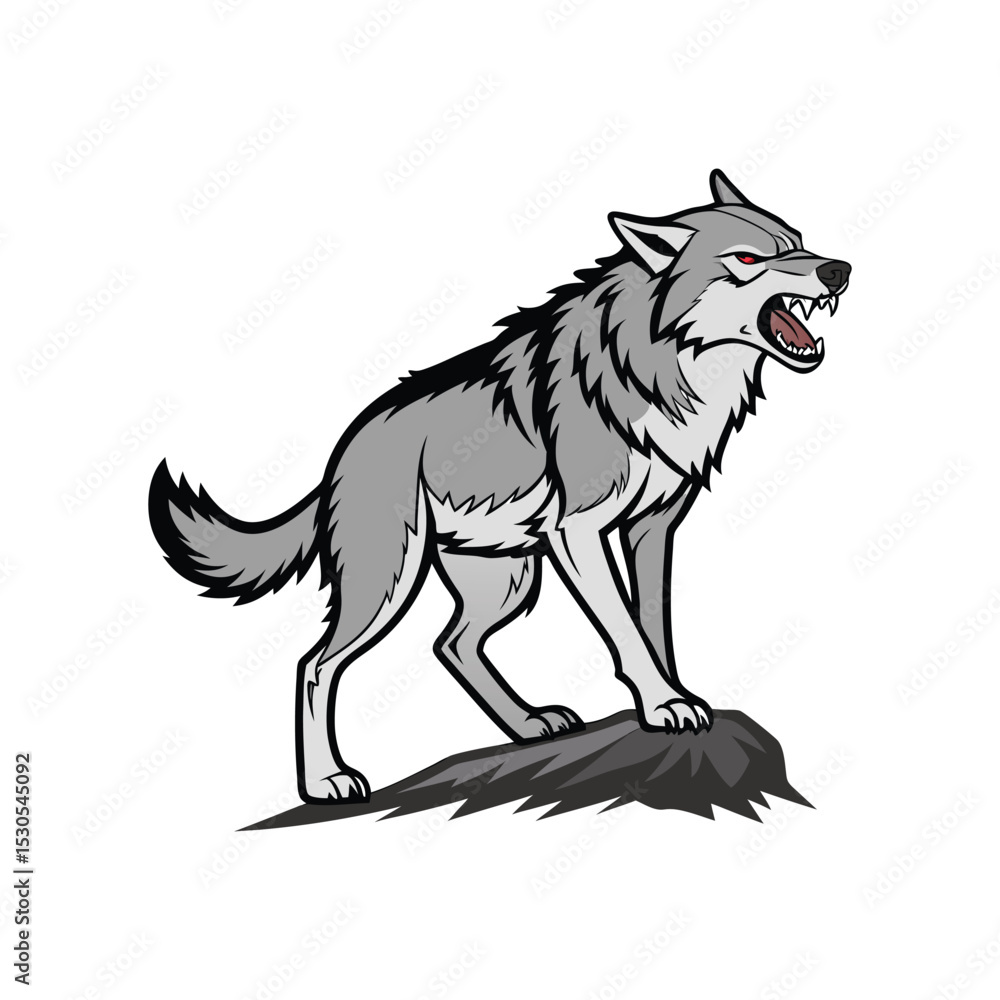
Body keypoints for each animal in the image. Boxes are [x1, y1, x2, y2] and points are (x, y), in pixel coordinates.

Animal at [149, 170, 850, 804]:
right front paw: (662, 704)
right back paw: (327, 781)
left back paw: (529, 724)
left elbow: (655, 624)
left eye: (798, 240)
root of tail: (344, 449)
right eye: (751, 258)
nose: (838, 270)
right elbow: (625, 630)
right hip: (392, 584)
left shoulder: (653, 528)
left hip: (510, 577)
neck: (664, 364)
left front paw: (675, 700)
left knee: (451, 645)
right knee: (316, 665)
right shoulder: (580, 531)